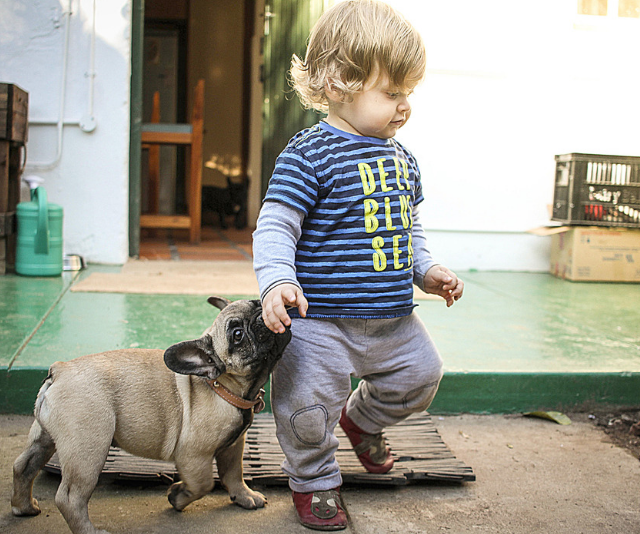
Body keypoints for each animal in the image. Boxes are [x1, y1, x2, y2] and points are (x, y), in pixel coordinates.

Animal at [11, 298, 290, 534]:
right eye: (237, 335)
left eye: (257, 302)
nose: (264, 313)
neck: (222, 385)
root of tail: (60, 370)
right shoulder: (193, 455)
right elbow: (203, 484)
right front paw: (177, 496)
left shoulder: (233, 446)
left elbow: (233, 473)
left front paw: (244, 496)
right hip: (88, 450)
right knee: (69, 497)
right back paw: (89, 530)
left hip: (44, 436)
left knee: (24, 466)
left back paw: (23, 507)